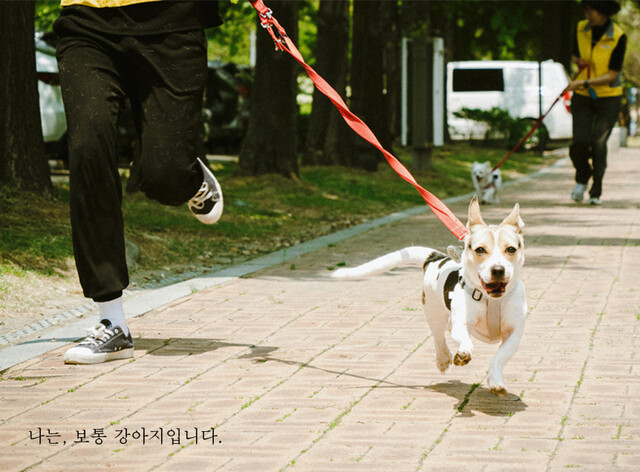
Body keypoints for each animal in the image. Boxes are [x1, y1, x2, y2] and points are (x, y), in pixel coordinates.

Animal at [332, 197, 528, 396]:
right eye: (480, 250)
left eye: (511, 249)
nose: (498, 270)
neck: (492, 300)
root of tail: (435, 258)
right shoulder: (461, 324)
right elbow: (465, 340)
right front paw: (464, 353)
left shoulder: (514, 333)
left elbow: (499, 356)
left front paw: (495, 380)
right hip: (434, 314)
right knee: (439, 336)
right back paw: (443, 358)